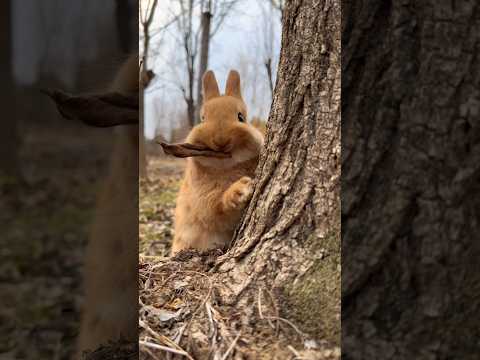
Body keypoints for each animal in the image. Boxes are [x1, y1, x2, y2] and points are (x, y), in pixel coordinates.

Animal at [161, 70, 266, 255]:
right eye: (203, 118)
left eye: (241, 117)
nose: (221, 140)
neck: (226, 166)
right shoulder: (205, 201)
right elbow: (219, 206)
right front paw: (240, 190)